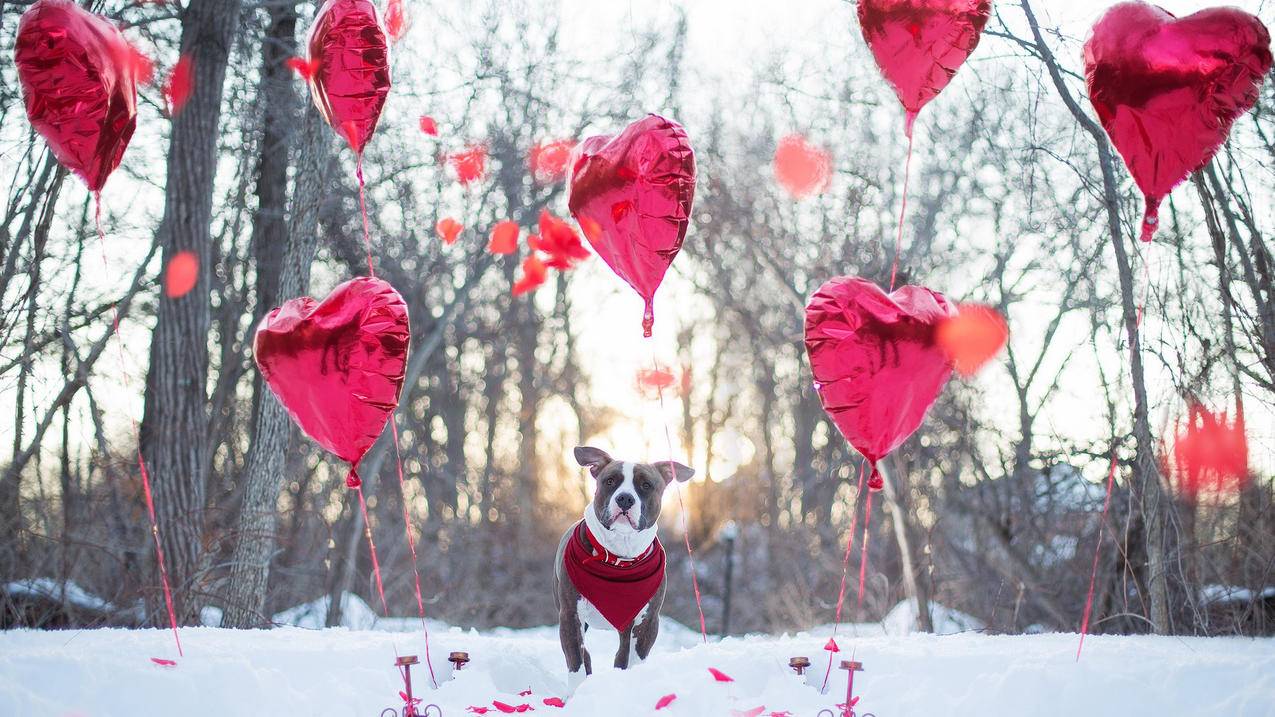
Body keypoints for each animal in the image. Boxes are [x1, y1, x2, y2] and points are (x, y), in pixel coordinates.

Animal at [555, 441, 693, 688]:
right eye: (610, 481)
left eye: (646, 485)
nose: (625, 498)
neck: (619, 556)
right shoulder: (570, 615)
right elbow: (576, 661)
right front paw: (578, 692)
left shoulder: (647, 621)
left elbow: (633, 658)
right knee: (586, 653)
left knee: (621, 654)